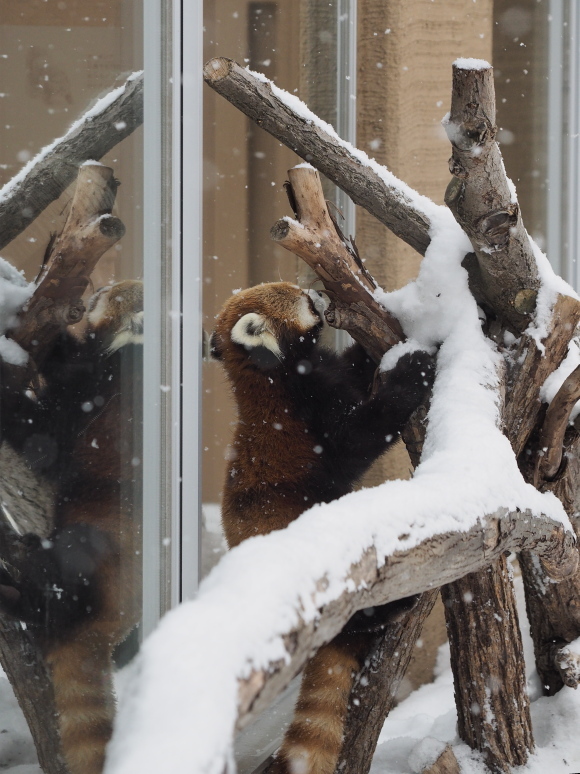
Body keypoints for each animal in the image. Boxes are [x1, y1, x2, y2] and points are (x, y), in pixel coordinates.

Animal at [0, 282, 143, 774]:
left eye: (108, 295)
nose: (98, 287)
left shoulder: (96, 394)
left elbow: (42, 439)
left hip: (97, 549)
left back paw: (19, 596)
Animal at [211, 282, 432, 772]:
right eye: (302, 300)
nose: (317, 290)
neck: (272, 376)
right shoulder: (308, 413)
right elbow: (358, 437)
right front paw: (411, 371)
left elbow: (354, 365)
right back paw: (393, 604)